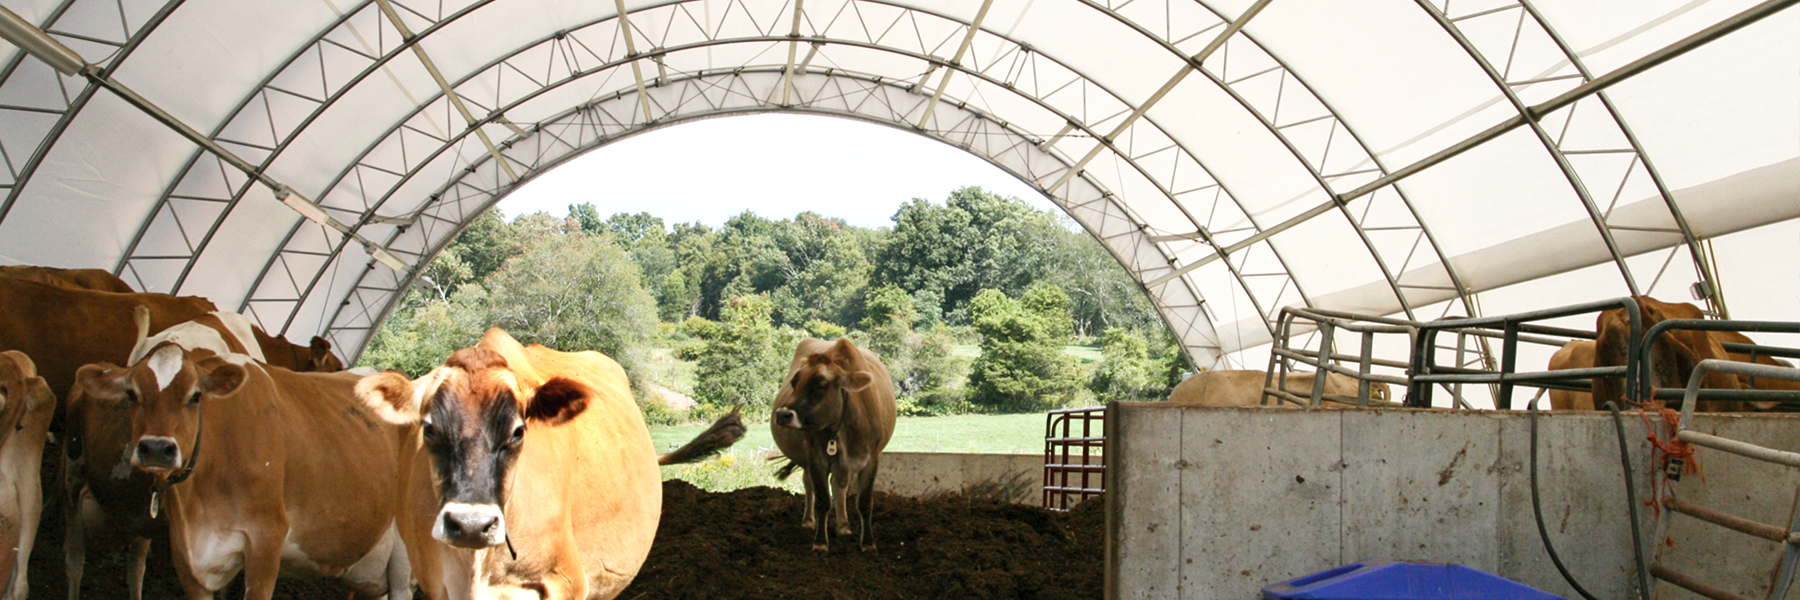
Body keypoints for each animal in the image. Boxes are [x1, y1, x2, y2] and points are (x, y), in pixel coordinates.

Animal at [770, 336, 896, 551]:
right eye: (794, 381)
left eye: (822, 384)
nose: (782, 414)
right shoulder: (815, 457)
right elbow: (822, 499)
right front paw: (820, 542)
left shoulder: (871, 460)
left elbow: (864, 502)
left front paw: (868, 543)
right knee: (809, 484)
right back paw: (809, 520)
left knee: (838, 486)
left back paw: (843, 525)